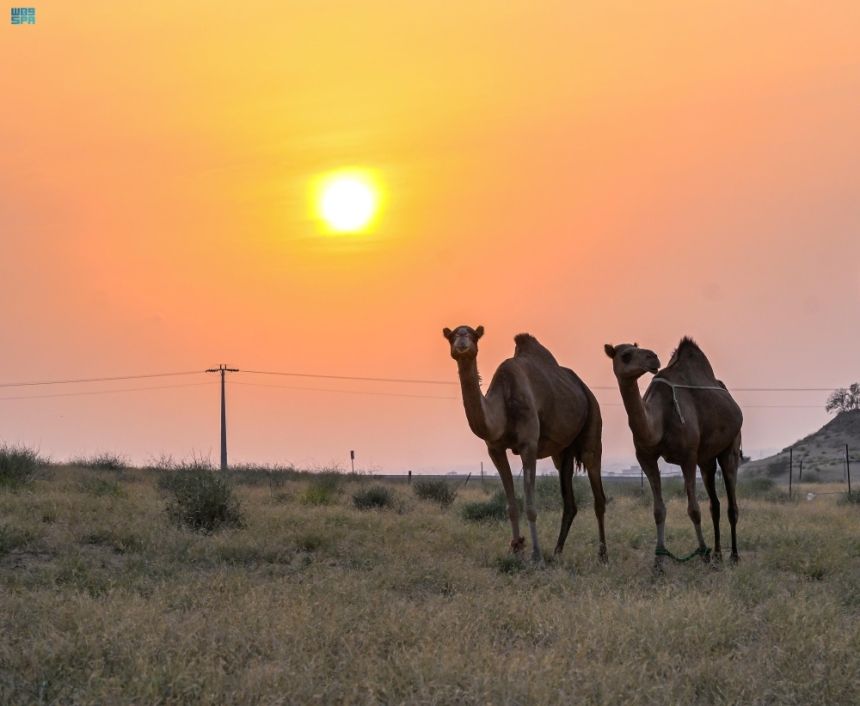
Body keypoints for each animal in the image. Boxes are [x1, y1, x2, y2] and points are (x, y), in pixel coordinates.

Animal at [444, 324, 604, 560]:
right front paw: (516, 548)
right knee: (569, 501)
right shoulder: (495, 449)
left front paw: (536, 555)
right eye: (452, 336)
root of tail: (585, 390)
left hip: (593, 422)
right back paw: (557, 552)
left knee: (598, 493)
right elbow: (511, 505)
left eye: (474, 335)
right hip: (563, 451)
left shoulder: (529, 445)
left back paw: (603, 556)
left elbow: (530, 506)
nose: (462, 343)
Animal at [600, 336, 744, 560]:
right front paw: (659, 558)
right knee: (714, 504)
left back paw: (734, 556)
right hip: (706, 460)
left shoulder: (688, 456)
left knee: (731, 502)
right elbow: (658, 510)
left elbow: (694, 509)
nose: (653, 357)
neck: (659, 421)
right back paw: (718, 554)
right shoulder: (645, 457)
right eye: (626, 355)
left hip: (731, 445)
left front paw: (702, 552)